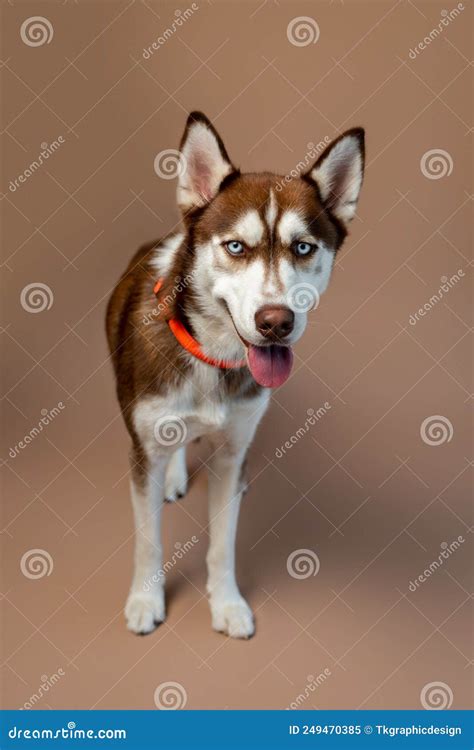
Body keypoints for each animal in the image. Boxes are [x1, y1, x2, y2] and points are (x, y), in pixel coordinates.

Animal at [105, 111, 364, 640]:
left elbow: (222, 545)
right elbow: (148, 540)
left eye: (303, 247)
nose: (276, 322)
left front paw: (226, 604)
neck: (213, 358)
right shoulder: (142, 453)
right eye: (236, 247)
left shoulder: (232, 456)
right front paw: (145, 600)